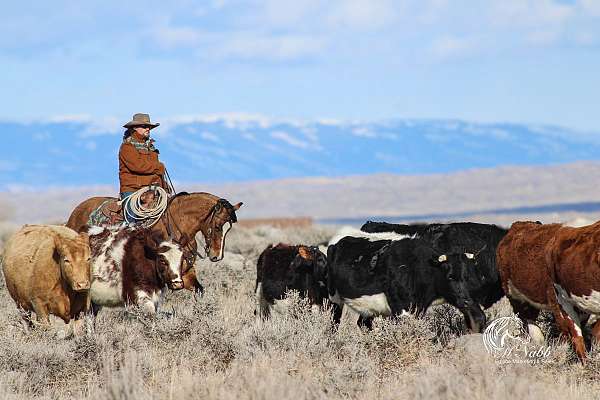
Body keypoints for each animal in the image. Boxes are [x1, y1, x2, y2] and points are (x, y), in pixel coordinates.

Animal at [65, 192, 241, 292]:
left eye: (228, 229)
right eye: (217, 226)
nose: (217, 256)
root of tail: (76, 211)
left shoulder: (185, 273)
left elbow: (199, 290)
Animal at [326, 236, 486, 330]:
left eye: (467, 277)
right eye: (450, 277)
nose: (466, 300)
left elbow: (479, 316)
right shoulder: (402, 310)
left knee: (363, 324)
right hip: (334, 299)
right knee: (334, 322)